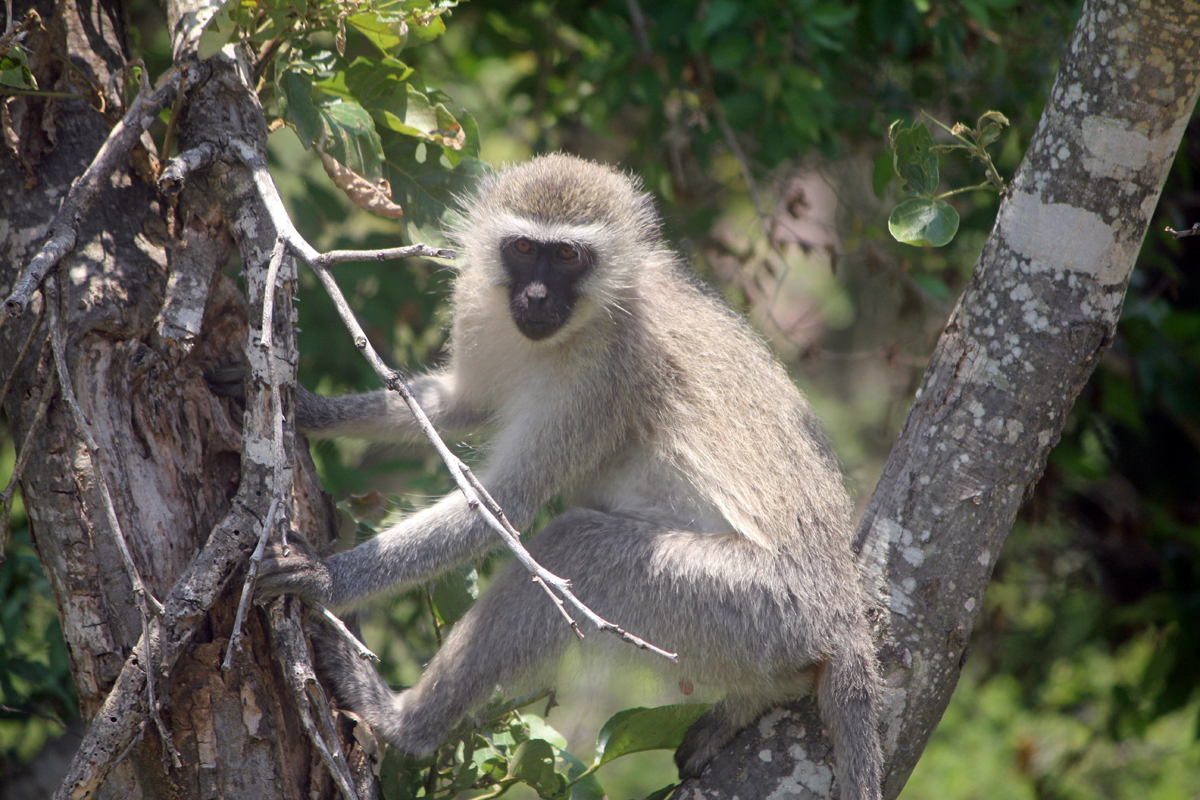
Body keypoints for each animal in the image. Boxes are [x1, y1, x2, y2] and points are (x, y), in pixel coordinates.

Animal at [255, 153, 883, 796]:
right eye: (523, 248)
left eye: (566, 256)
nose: (534, 297)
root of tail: (844, 613)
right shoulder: (481, 307)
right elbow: (458, 405)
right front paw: (308, 407)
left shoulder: (606, 372)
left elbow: (505, 503)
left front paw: (324, 580)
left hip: (756, 607)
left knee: (577, 545)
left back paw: (402, 721)